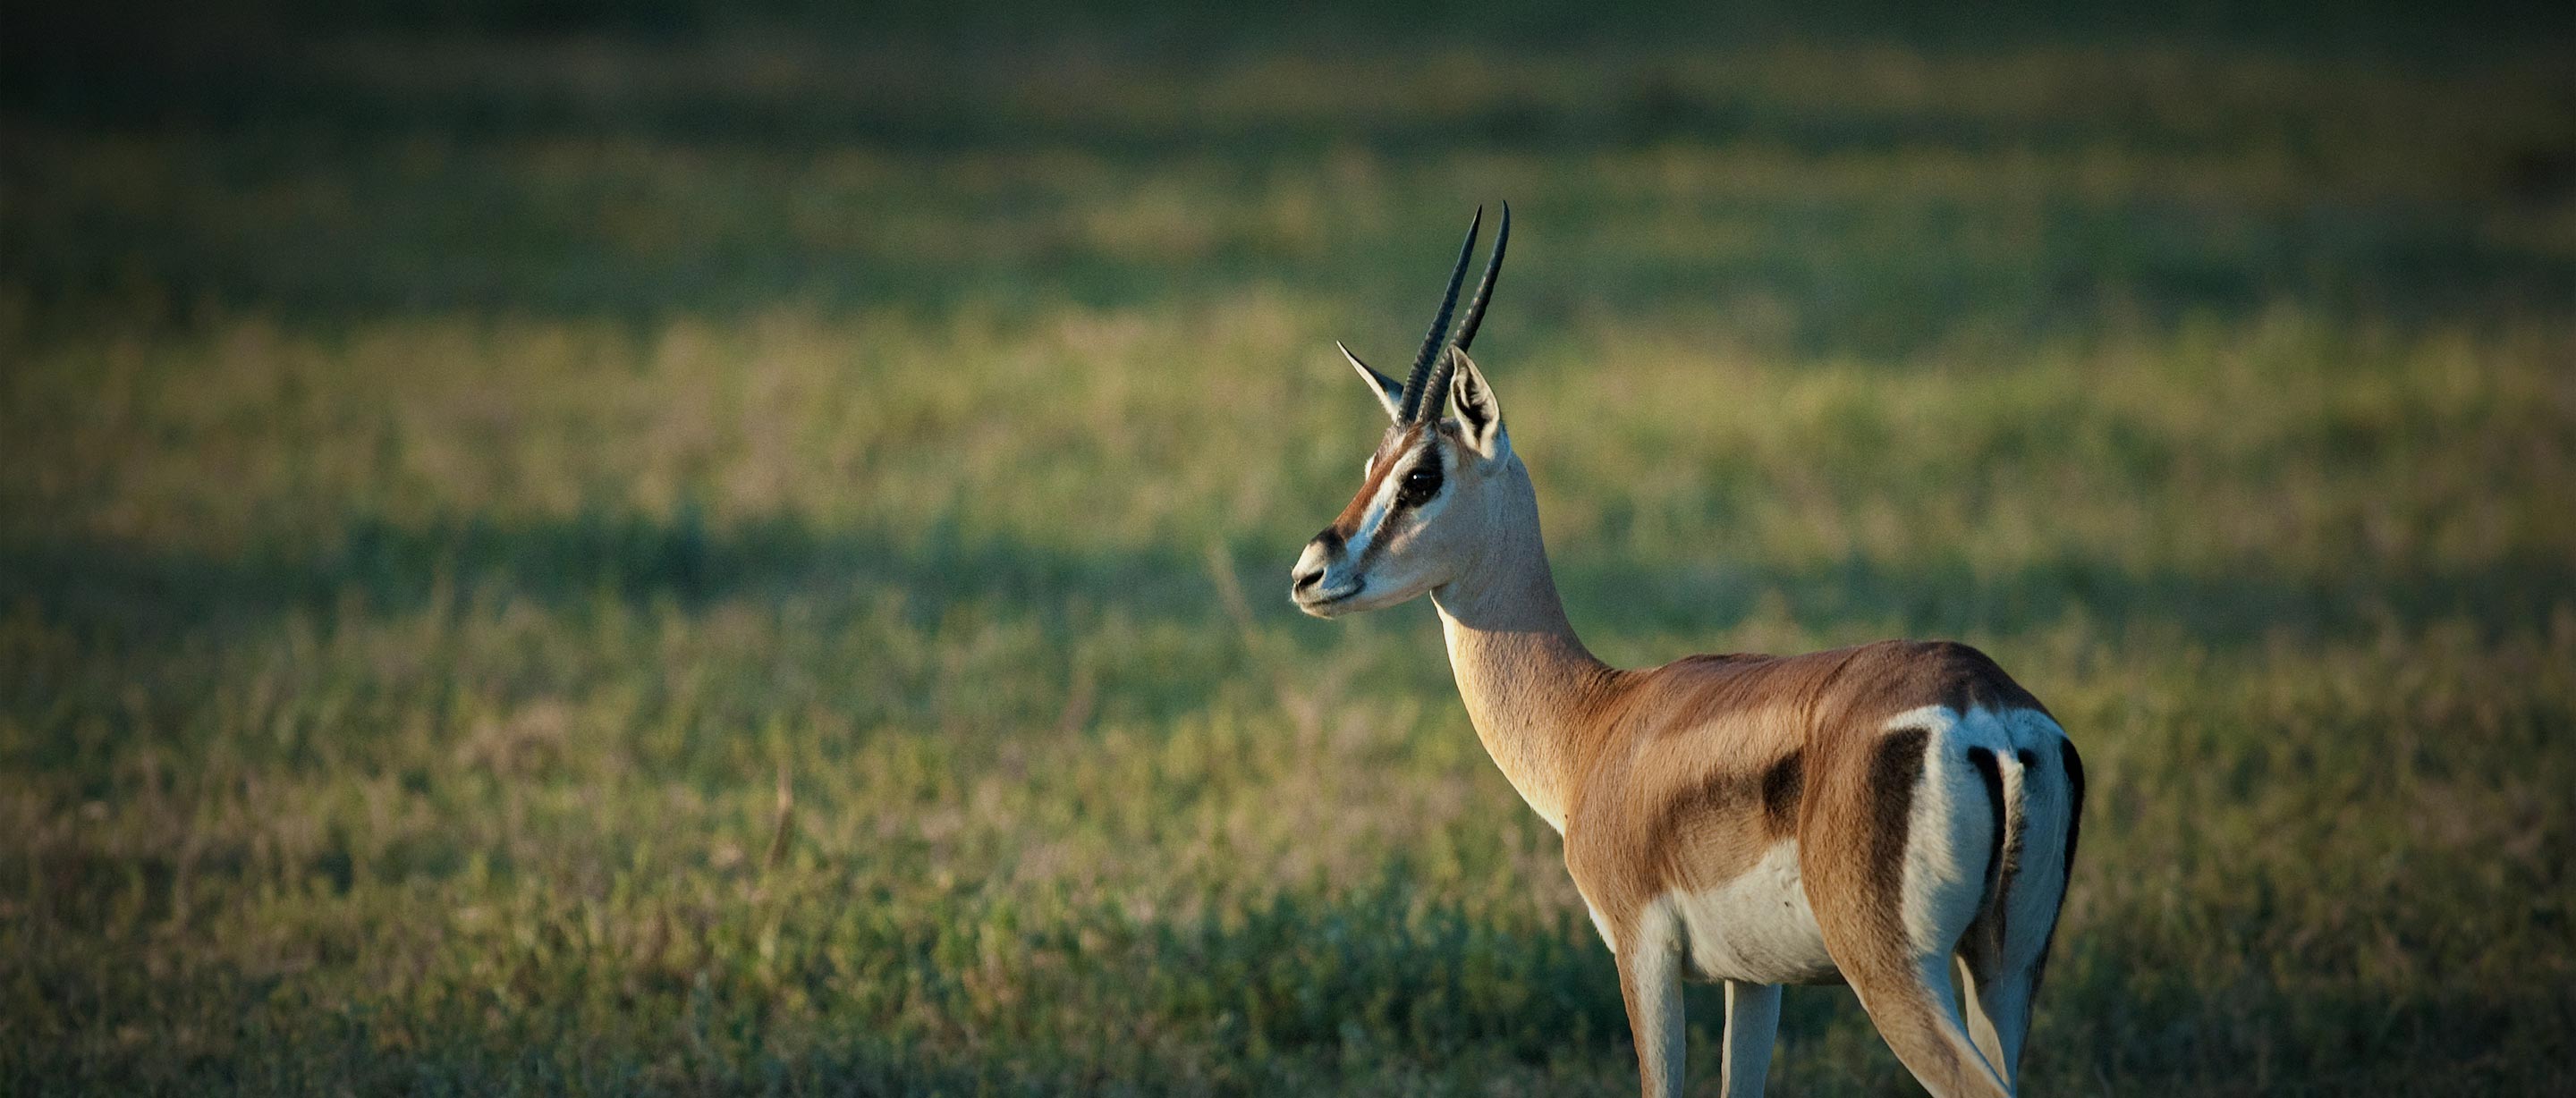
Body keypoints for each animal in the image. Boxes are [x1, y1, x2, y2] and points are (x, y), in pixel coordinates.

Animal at [1288, 206, 2084, 1098]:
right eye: (1373, 464)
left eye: (1422, 476)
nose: (1309, 573)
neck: (1596, 724)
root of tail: (1987, 710)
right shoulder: (1756, 978)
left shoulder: (1643, 952)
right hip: (2006, 971)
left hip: (1895, 972)